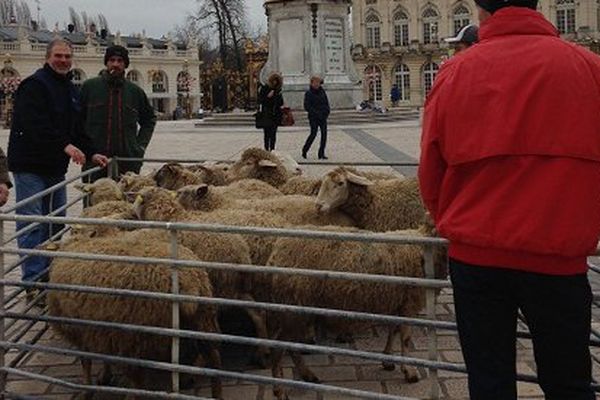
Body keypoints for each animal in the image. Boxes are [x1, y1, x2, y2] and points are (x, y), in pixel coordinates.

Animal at [48, 233, 223, 398]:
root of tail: (189, 282)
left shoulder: (81, 330)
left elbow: (86, 361)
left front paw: (88, 388)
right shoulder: (101, 329)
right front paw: (105, 376)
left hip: (134, 337)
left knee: (138, 382)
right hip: (202, 322)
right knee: (214, 361)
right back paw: (216, 394)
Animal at [264, 225, 448, 400]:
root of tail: (276, 252)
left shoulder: (396, 304)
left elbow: (393, 332)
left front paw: (388, 359)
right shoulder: (408, 305)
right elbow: (406, 339)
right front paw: (409, 372)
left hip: (297, 310)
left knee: (289, 346)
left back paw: (306, 376)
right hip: (295, 309)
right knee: (280, 346)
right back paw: (279, 389)